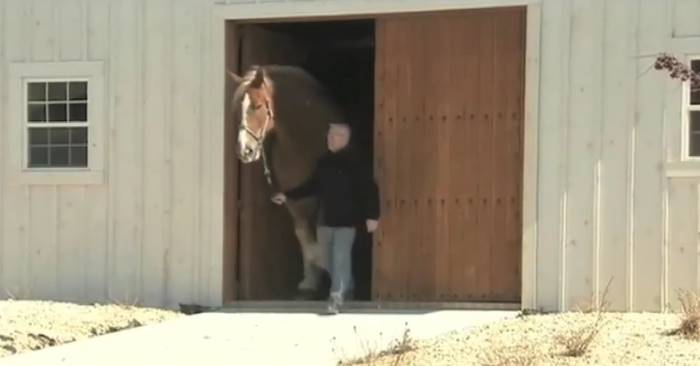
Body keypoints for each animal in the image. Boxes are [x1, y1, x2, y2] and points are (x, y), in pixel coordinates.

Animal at [227, 65, 344, 300]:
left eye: (257, 106)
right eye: (236, 110)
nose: (245, 151)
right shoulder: (297, 199)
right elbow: (303, 235)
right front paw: (310, 281)